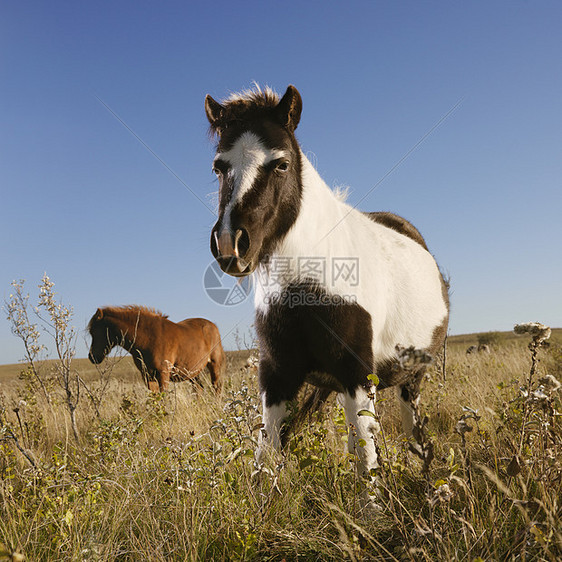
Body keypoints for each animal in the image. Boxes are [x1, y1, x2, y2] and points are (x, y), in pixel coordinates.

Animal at [86, 306, 224, 390]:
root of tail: (213, 326)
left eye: (95, 331)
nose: (92, 357)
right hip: (192, 372)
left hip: (214, 365)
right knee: (199, 389)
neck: (149, 339)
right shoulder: (148, 377)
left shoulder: (163, 374)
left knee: (216, 387)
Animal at [205, 84, 446, 498]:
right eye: (219, 166)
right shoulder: (277, 375)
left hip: (410, 381)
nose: (230, 244)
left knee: (413, 434)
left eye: (281, 164)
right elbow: (266, 457)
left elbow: (367, 461)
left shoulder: (357, 374)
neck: (304, 283)